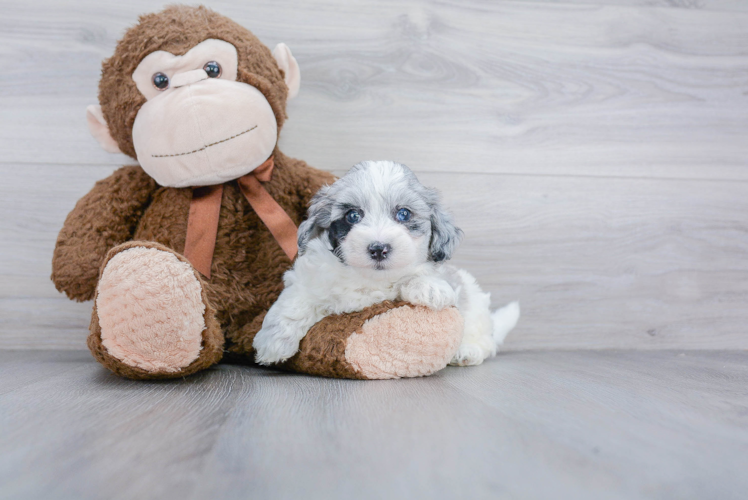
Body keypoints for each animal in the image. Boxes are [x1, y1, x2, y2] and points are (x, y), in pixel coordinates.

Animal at [253, 161, 520, 368]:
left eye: (404, 214)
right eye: (353, 215)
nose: (378, 248)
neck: (370, 278)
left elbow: (421, 276)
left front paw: (430, 288)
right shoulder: (310, 277)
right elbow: (295, 301)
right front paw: (272, 343)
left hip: (474, 301)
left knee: (483, 335)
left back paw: (467, 351)